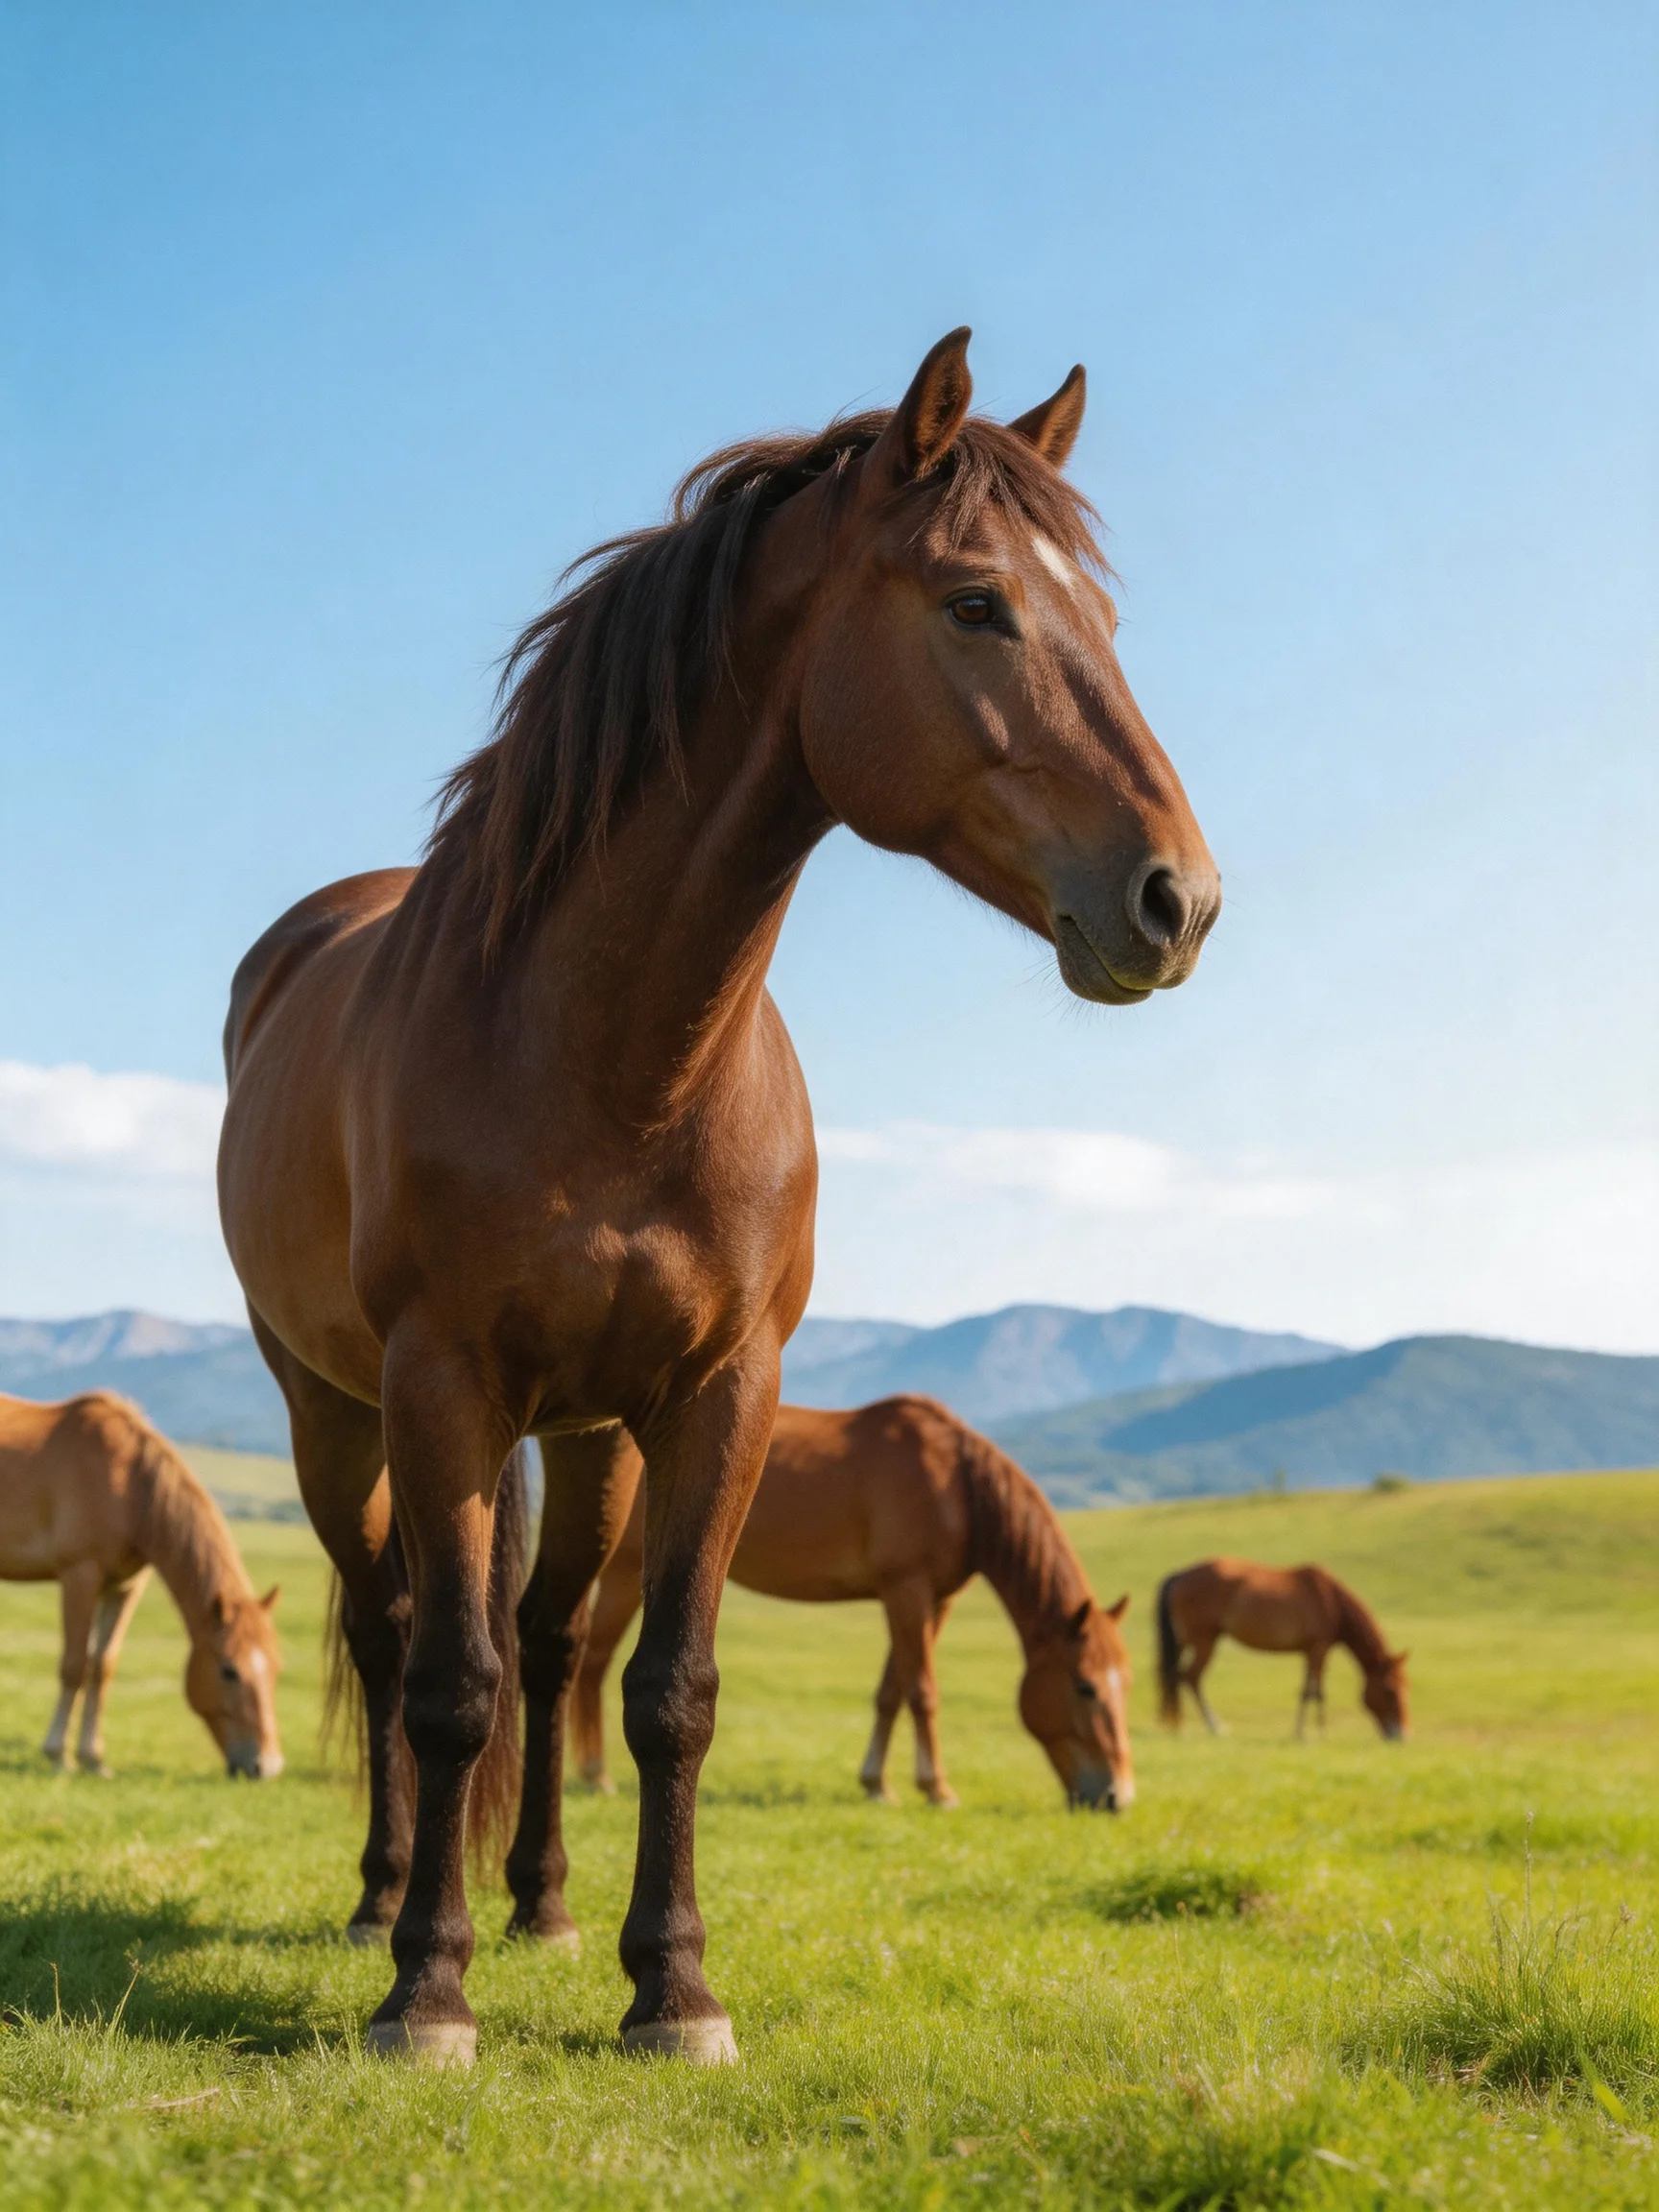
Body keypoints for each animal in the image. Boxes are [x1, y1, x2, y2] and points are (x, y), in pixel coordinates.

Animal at [0, 1390, 284, 1778]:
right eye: (229, 1671)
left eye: (276, 1667)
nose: (266, 1766)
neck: (130, 1486)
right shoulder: (80, 1575)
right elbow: (74, 1666)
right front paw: (58, 1755)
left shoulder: (123, 1587)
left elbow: (101, 1666)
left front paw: (93, 1758)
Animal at [569, 1396, 1134, 1812]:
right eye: (1085, 1687)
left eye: (1126, 1685)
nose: (1118, 1797)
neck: (955, 1484)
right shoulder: (906, 1590)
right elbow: (923, 1692)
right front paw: (937, 1789)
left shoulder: (932, 1601)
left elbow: (892, 1692)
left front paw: (877, 1784)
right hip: (624, 1573)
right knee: (593, 1666)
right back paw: (595, 1775)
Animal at [1156, 1558, 1409, 1739]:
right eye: (1390, 1691)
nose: (1403, 1735)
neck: (1332, 1603)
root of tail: (1179, 1575)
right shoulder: (1319, 1649)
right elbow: (1315, 1692)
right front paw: (1316, 1733)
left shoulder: (1310, 1651)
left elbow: (1308, 1690)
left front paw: (1305, 1730)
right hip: (1204, 1640)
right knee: (1190, 1677)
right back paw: (1215, 1726)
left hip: (1184, 1641)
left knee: (1173, 1676)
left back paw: (1178, 1724)